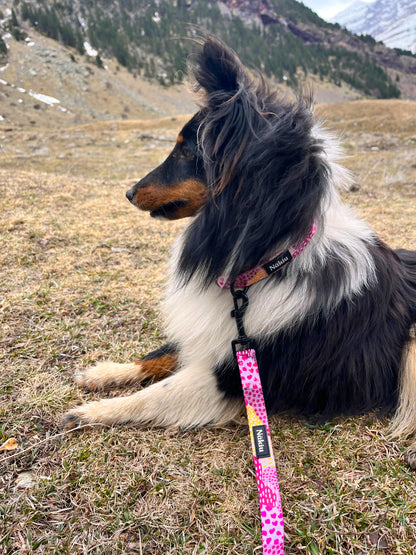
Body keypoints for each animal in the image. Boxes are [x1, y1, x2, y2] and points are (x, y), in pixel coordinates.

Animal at [62, 38, 416, 464]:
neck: (268, 264)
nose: (129, 192)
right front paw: (104, 372)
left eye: (187, 152)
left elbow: (155, 394)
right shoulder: (220, 336)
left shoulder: (235, 374)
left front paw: (92, 412)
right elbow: (158, 355)